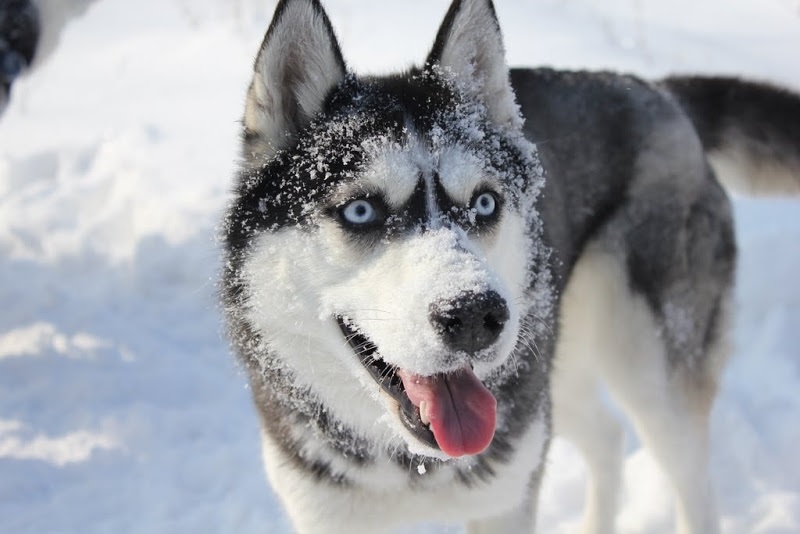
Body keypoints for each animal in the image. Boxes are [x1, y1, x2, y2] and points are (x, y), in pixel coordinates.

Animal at [220, 1, 800, 534]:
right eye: (361, 210)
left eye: (484, 203)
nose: (474, 316)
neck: (415, 463)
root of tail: (658, 92)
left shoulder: (504, 503)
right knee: (608, 437)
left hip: (650, 375)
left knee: (689, 480)